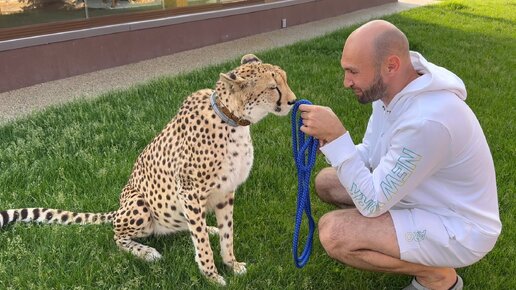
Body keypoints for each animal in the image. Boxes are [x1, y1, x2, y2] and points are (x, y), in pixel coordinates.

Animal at [0, 53, 296, 286]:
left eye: (284, 78)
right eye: (273, 87)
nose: (294, 101)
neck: (232, 119)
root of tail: (118, 208)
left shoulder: (225, 192)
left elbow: (226, 233)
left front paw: (231, 263)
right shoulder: (190, 192)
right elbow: (201, 243)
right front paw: (211, 275)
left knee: (187, 225)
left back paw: (205, 228)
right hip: (140, 205)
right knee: (118, 235)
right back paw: (145, 252)